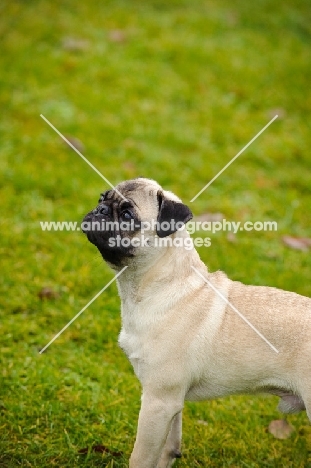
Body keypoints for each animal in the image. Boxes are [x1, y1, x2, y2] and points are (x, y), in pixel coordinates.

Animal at [82, 178, 311, 468]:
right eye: (102, 198)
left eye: (127, 215)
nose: (99, 210)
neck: (155, 286)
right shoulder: (171, 402)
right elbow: (168, 448)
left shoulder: (158, 401)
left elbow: (141, 457)